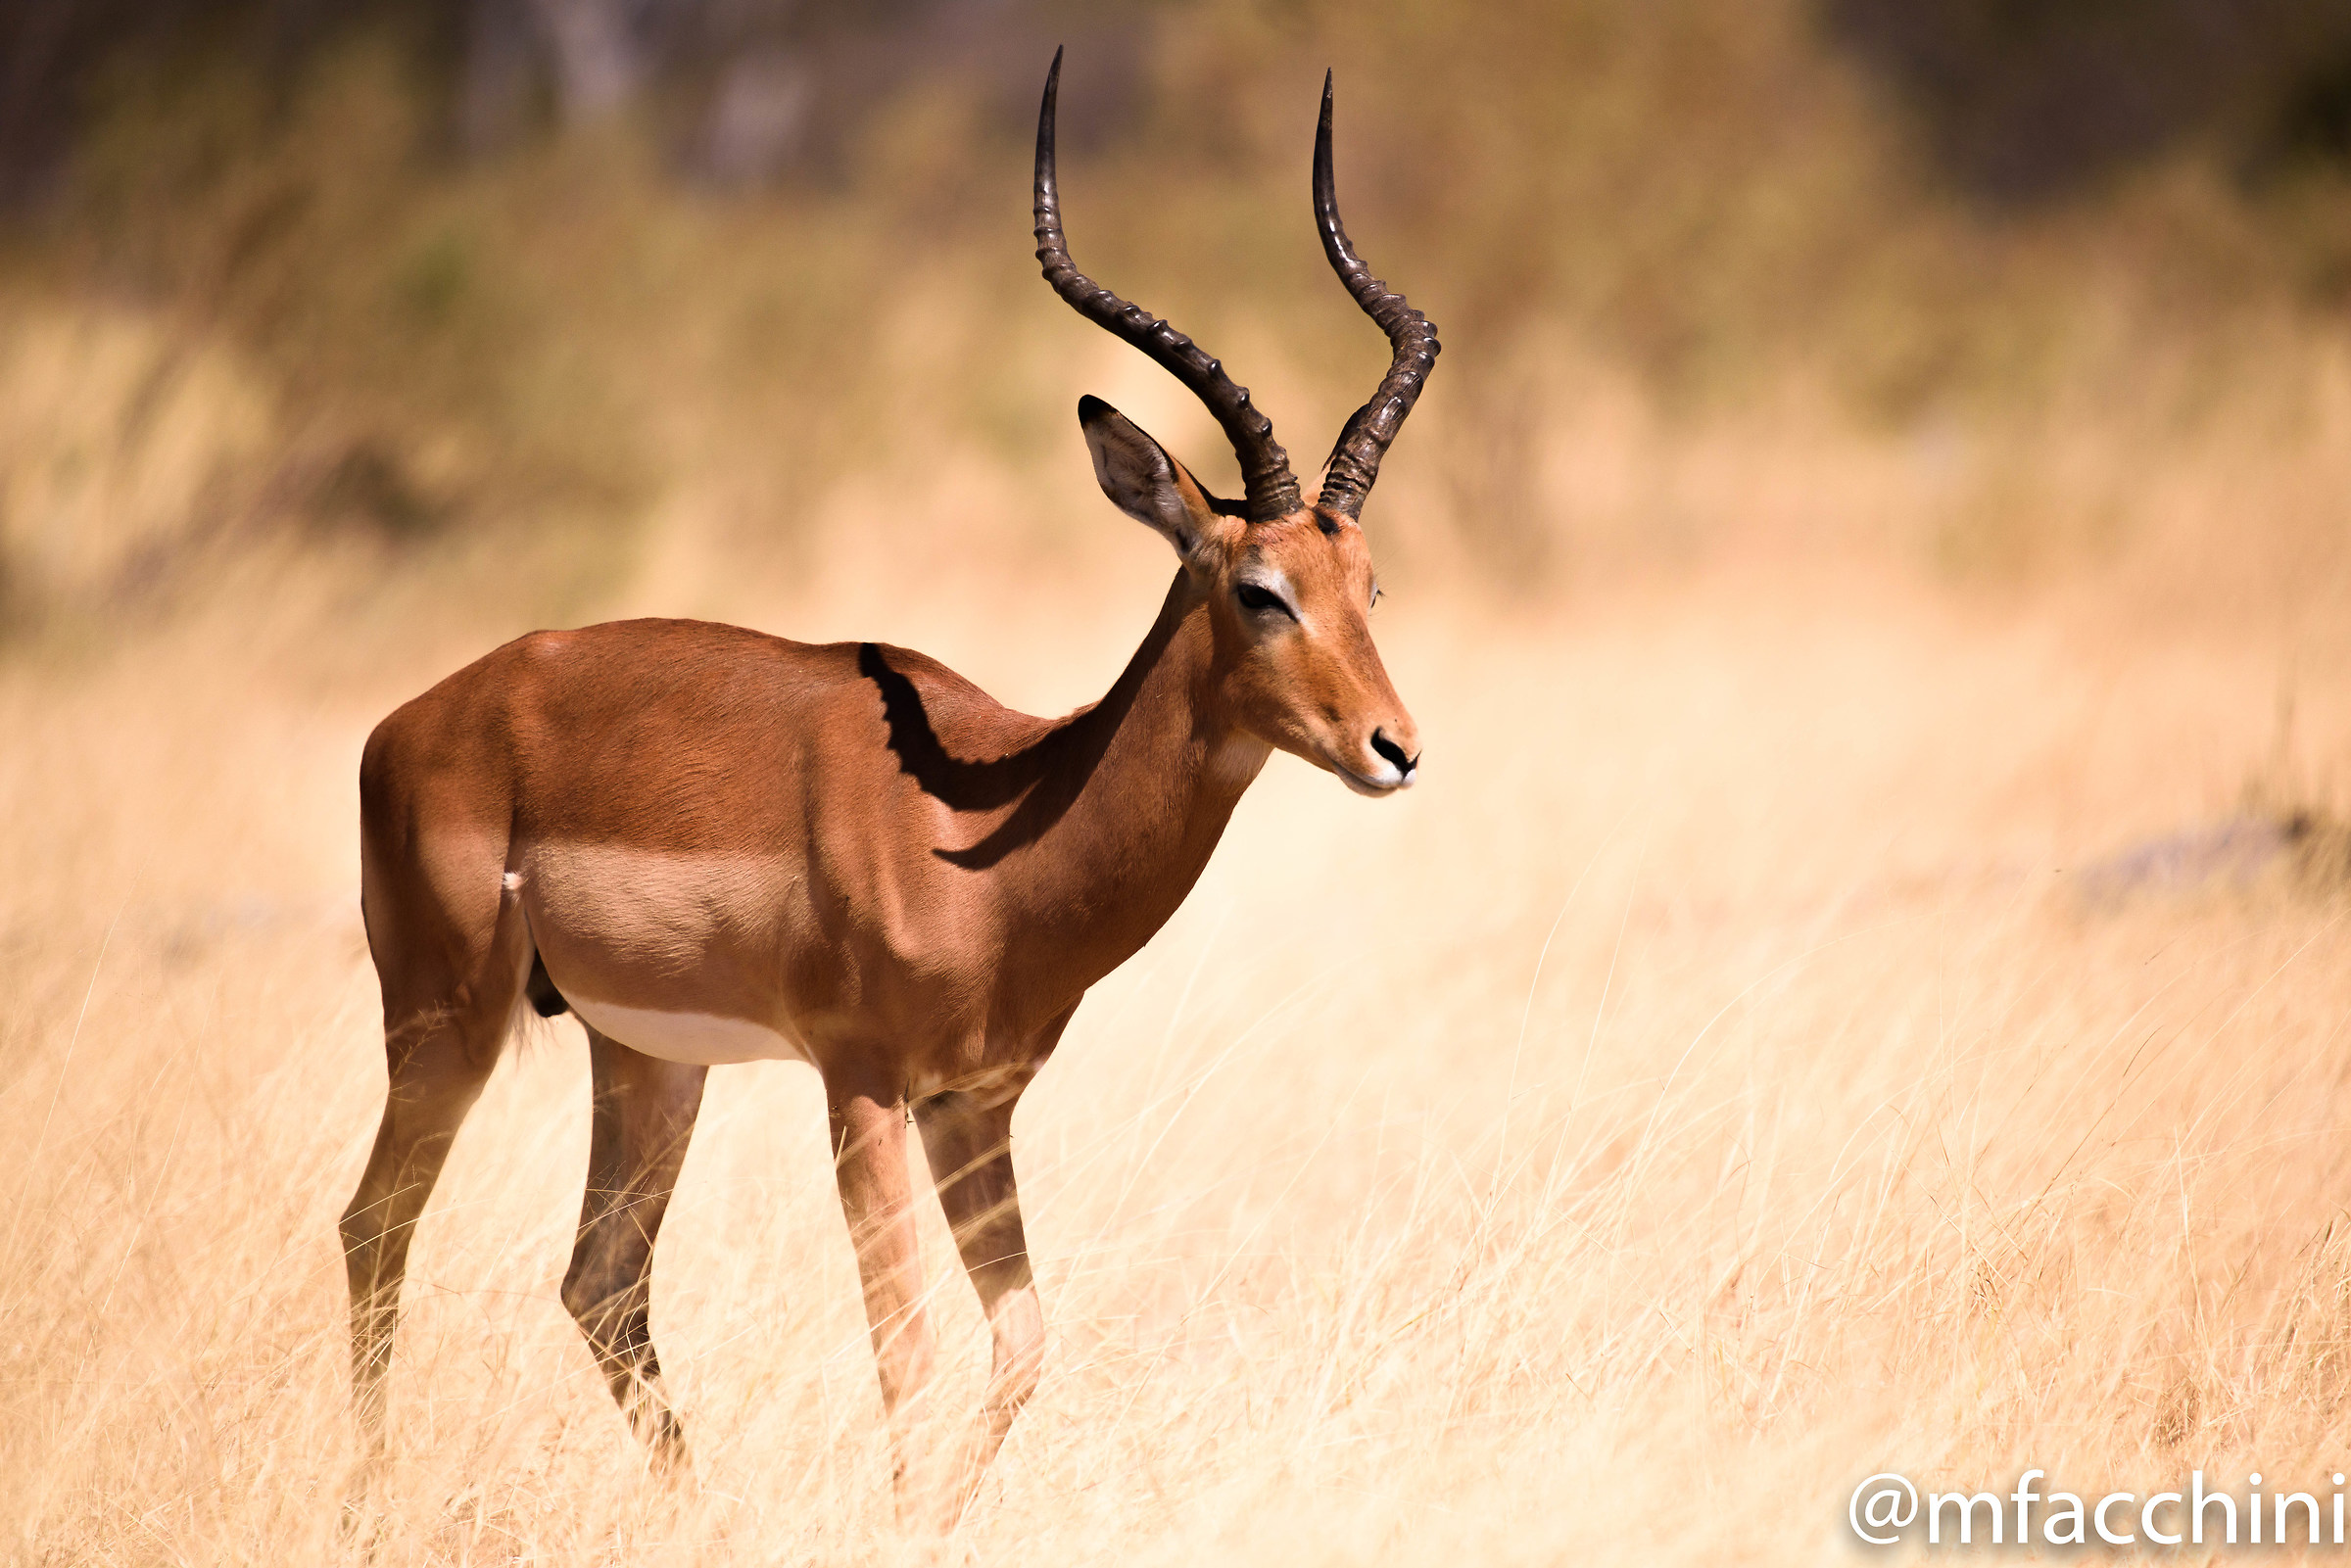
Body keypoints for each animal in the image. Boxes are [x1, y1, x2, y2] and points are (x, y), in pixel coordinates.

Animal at [340, 50, 1437, 1524]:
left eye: (1369, 584)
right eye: (1261, 589)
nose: (1394, 746)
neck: (994, 829)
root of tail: (419, 714)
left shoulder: (977, 1100)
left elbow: (1023, 1339)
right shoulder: (863, 1084)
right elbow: (906, 1348)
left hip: (646, 1058)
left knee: (600, 1281)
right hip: (444, 1023)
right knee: (375, 1228)